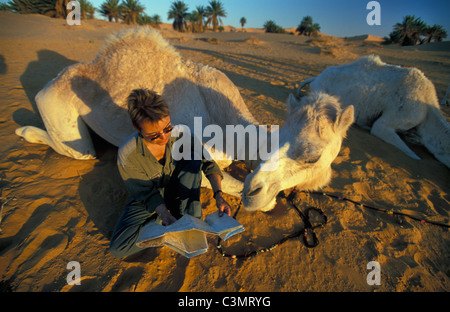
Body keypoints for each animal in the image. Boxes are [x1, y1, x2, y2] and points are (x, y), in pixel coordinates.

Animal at [14, 27, 356, 212]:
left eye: (312, 157)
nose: (255, 190)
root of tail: (53, 81)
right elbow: (229, 181)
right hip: (54, 107)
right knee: (79, 150)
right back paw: (23, 130)